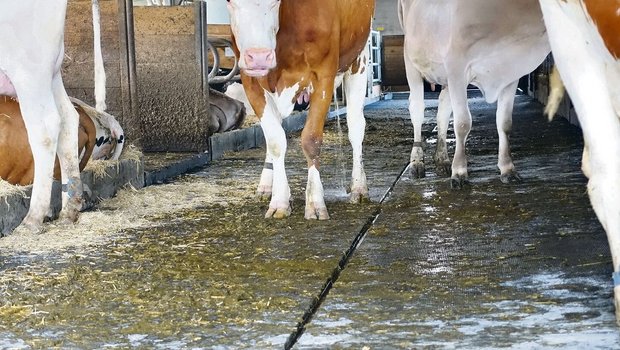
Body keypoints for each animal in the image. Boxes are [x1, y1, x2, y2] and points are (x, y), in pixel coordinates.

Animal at [0, 1, 106, 232]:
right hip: (52, 73)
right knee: (68, 119)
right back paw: (69, 210)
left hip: (29, 71)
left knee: (45, 128)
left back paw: (33, 218)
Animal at [226, 0, 376, 219]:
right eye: (230, 2)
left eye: (275, 2)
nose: (260, 57)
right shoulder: (250, 81)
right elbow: (275, 141)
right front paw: (279, 201)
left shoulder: (323, 75)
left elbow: (311, 139)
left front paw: (315, 202)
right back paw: (266, 186)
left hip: (359, 59)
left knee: (356, 128)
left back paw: (359, 188)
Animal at [398, 0, 548, 187]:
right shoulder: (456, 66)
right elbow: (462, 123)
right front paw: (459, 172)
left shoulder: (510, 74)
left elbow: (505, 123)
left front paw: (508, 169)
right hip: (411, 60)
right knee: (417, 109)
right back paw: (417, 163)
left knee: (443, 109)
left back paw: (442, 160)